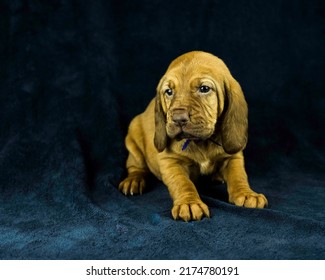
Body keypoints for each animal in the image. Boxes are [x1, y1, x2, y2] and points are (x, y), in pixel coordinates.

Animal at [118, 50, 266, 221]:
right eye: (169, 92)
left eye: (204, 88)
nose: (178, 118)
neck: (202, 141)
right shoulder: (170, 162)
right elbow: (182, 183)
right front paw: (189, 203)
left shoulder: (233, 157)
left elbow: (238, 176)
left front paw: (247, 194)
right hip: (133, 140)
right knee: (135, 167)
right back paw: (133, 180)